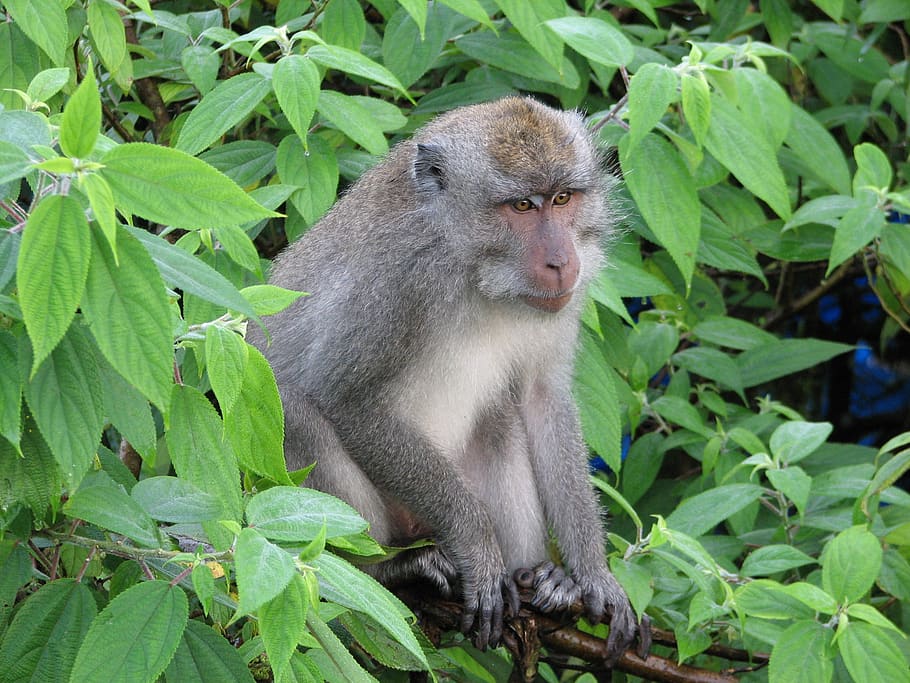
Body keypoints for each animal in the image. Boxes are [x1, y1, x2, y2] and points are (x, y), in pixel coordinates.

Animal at [250, 97, 645, 662]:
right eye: (522, 206)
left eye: (562, 198)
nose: (560, 260)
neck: (473, 268)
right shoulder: (397, 277)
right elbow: (348, 402)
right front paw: (477, 547)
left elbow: (543, 398)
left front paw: (592, 575)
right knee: (295, 409)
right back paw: (389, 570)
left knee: (499, 420)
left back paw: (536, 577)